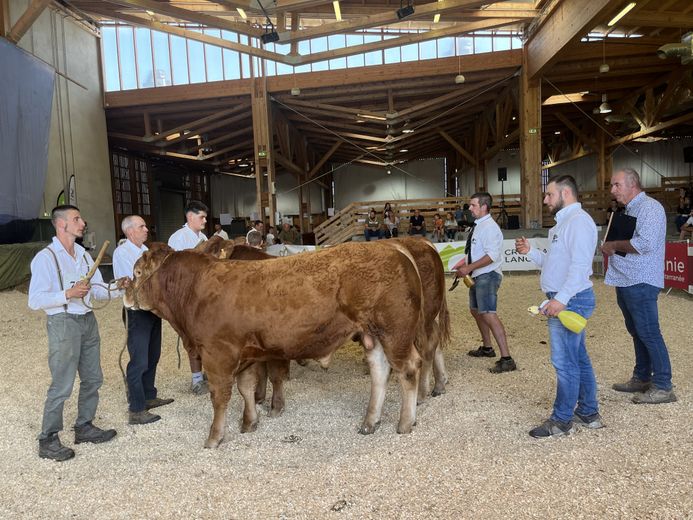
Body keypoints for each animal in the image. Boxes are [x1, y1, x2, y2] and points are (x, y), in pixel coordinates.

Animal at [126, 240, 424, 446]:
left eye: (138, 271)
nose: (126, 296)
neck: (194, 290)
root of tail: (392, 246)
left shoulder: (218, 353)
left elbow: (220, 396)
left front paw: (214, 436)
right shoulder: (245, 352)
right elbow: (246, 388)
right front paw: (249, 422)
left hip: (394, 331)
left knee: (409, 369)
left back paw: (405, 422)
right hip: (373, 335)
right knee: (380, 372)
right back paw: (370, 421)